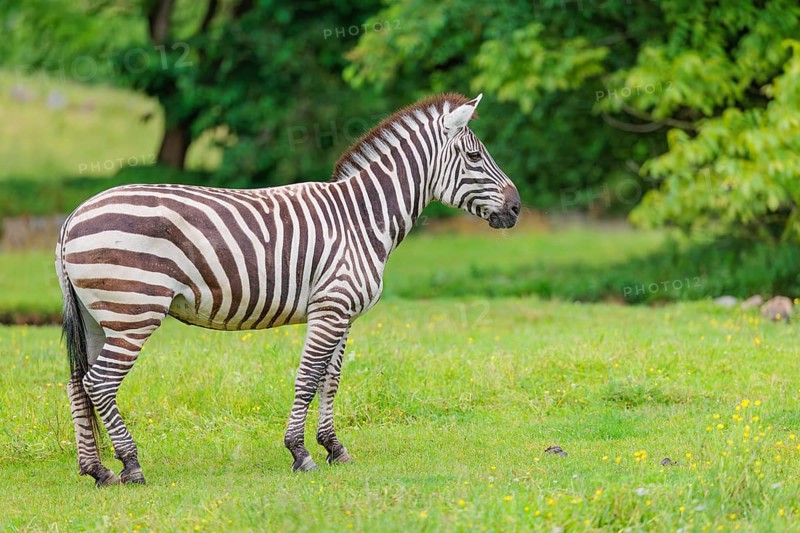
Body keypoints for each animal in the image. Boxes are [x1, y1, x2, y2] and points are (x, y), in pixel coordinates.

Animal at [56, 93, 520, 486]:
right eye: (475, 155)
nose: (517, 208)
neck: (361, 218)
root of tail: (73, 216)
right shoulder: (331, 306)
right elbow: (308, 377)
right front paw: (300, 453)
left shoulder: (341, 313)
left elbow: (330, 380)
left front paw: (334, 448)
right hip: (134, 311)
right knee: (100, 382)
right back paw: (131, 465)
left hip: (99, 317)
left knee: (78, 383)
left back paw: (97, 470)